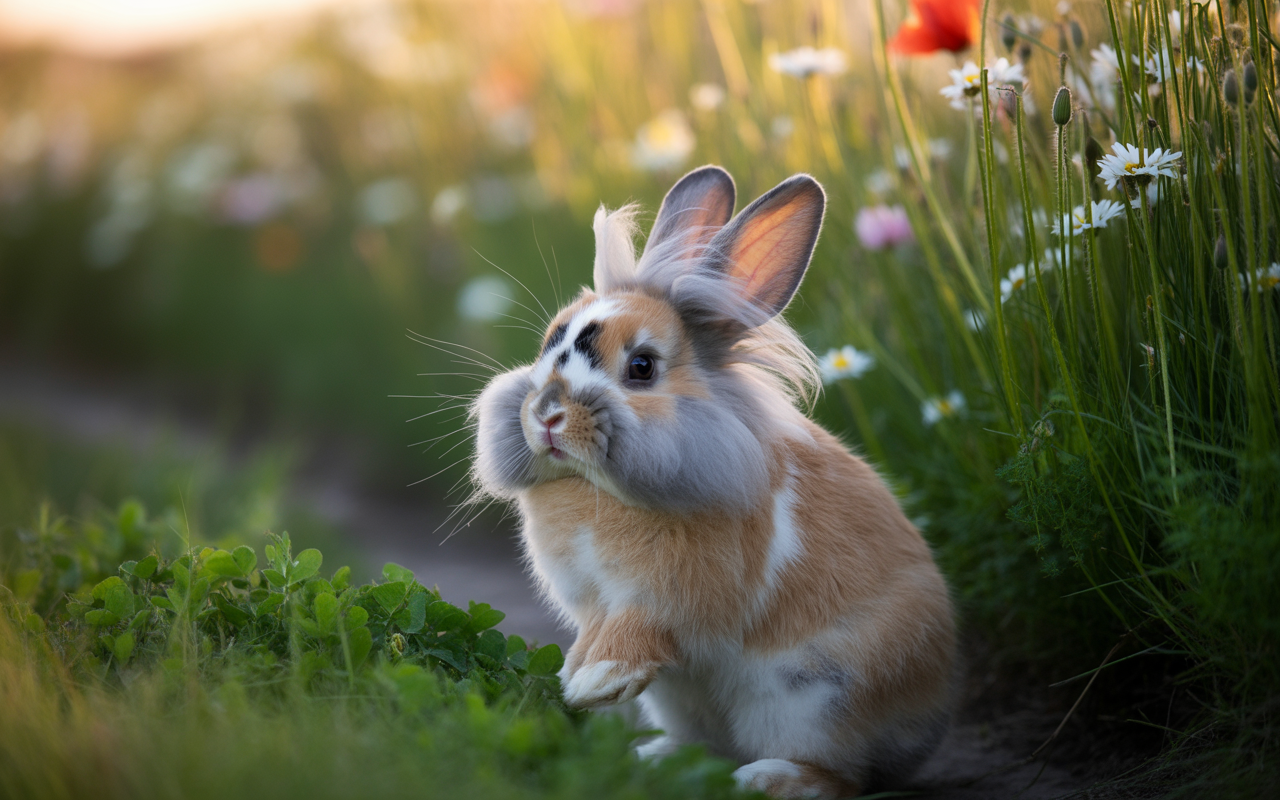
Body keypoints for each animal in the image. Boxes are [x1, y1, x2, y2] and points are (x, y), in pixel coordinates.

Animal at [471, 165, 956, 798]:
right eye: (547, 348)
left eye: (642, 368)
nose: (547, 415)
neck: (595, 487)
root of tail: (925, 732)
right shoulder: (597, 601)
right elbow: (599, 628)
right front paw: (576, 673)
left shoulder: (669, 595)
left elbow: (640, 628)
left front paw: (594, 683)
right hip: (685, 703)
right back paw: (656, 759)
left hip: (816, 699)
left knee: (842, 776)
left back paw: (767, 778)